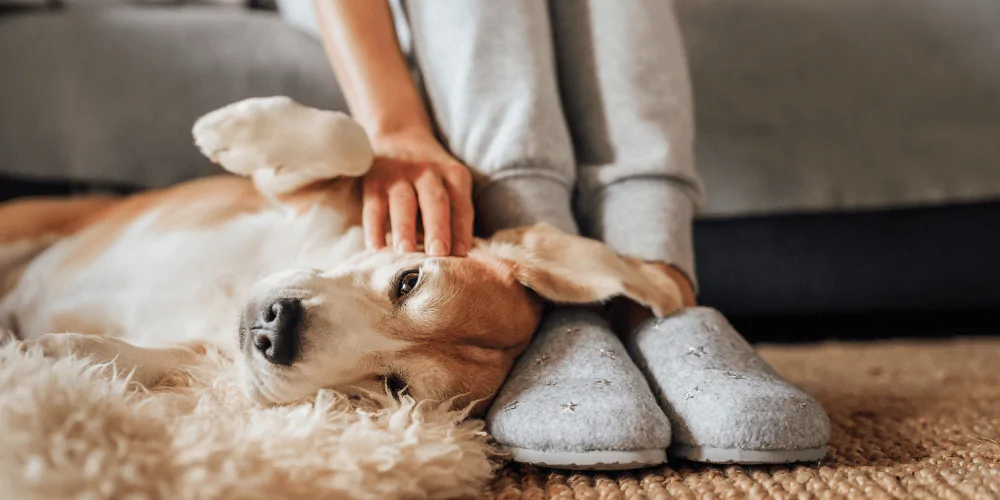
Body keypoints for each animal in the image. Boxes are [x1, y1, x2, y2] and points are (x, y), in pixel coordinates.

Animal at [0, 96, 680, 410]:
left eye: (395, 387)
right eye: (408, 280)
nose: (276, 329)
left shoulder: (207, 357)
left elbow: (151, 359)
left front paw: (57, 355)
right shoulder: (304, 197)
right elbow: (351, 142)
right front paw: (234, 131)